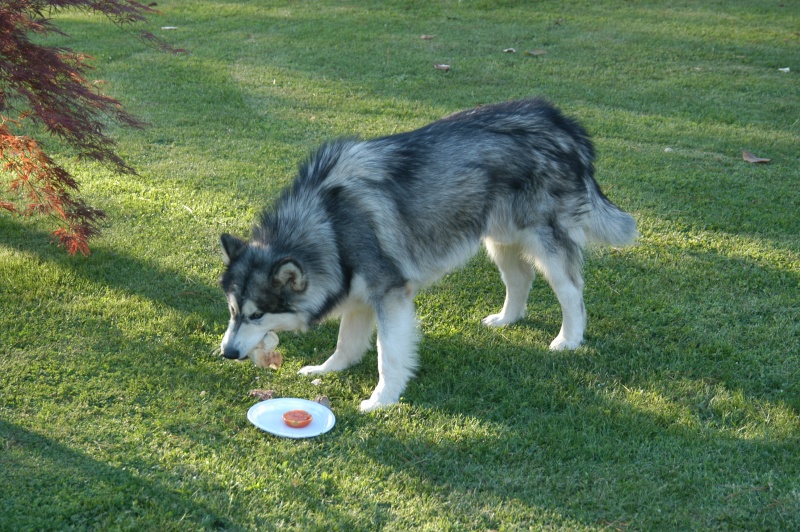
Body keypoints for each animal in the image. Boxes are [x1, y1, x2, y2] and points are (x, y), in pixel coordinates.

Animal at [220, 97, 636, 410]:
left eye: (257, 315)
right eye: (233, 311)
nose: (226, 353)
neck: (329, 221)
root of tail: (558, 120)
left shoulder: (390, 295)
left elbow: (389, 355)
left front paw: (382, 399)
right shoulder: (358, 294)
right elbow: (346, 342)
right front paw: (328, 370)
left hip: (545, 242)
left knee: (572, 291)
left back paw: (569, 339)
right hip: (498, 238)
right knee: (520, 278)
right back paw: (507, 319)